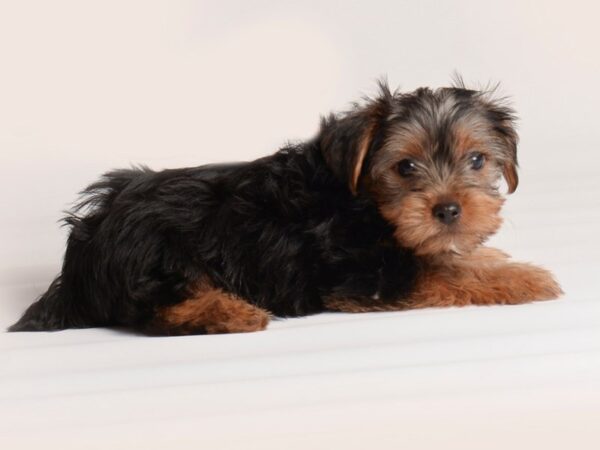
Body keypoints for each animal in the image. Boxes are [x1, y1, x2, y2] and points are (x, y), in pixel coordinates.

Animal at [9, 80, 564, 334]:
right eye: (405, 167)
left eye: (477, 161)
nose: (448, 210)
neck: (364, 203)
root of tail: (86, 240)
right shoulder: (365, 279)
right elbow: (445, 274)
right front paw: (526, 279)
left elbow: (451, 259)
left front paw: (491, 258)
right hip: (154, 254)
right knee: (154, 308)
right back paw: (231, 311)